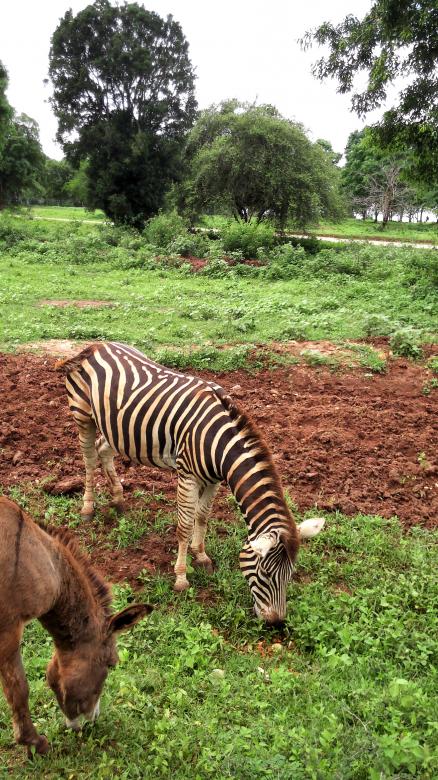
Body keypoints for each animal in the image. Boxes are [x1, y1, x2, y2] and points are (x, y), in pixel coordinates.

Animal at [57, 341, 324, 625]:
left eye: (290, 575)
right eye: (265, 574)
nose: (276, 623)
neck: (220, 446)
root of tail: (96, 345)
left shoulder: (214, 480)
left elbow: (202, 516)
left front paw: (202, 555)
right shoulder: (187, 476)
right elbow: (184, 526)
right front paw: (181, 578)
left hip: (116, 428)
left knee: (103, 449)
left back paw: (118, 500)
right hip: (83, 415)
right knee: (89, 458)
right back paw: (88, 507)